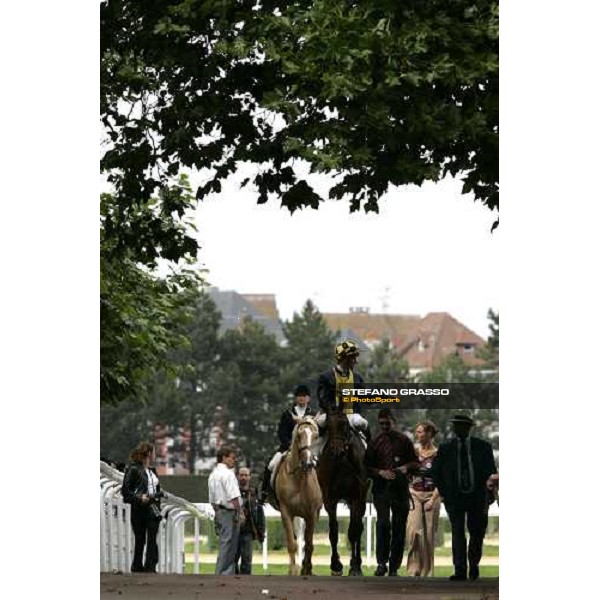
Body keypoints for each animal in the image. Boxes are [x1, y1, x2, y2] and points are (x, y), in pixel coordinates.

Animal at [276, 418, 324, 576]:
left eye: (316, 436)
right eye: (298, 436)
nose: (309, 462)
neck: (299, 478)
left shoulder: (312, 514)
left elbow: (309, 544)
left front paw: (307, 569)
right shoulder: (286, 512)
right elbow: (292, 543)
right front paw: (293, 571)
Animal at [316, 410, 368, 576]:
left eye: (344, 424)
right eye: (328, 425)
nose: (337, 451)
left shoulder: (357, 496)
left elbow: (354, 531)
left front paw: (355, 567)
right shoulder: (329, 499)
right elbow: (333, 531)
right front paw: (336, 565)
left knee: (358, 528)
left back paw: (356, 563)